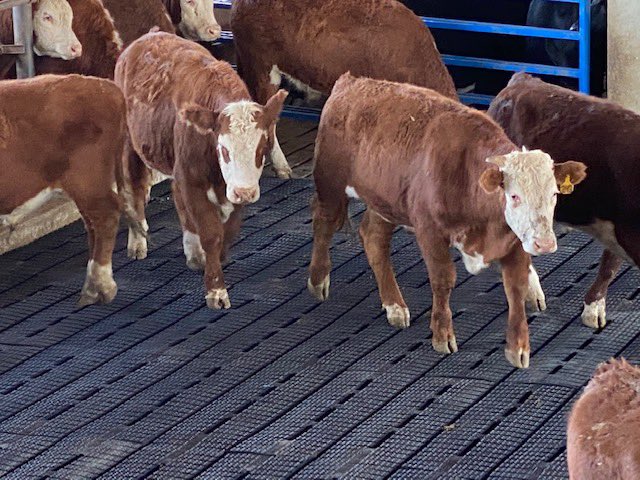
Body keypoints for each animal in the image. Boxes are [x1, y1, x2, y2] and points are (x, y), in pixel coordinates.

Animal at [115, 32, 287, 310]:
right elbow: (211, 234)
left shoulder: (230, 188)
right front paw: (216, 291)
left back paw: (192, 252)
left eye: (263, 148)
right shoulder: (192, 180)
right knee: (136, 186)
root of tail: (148, 36)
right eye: (224, 149)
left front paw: (214, 256)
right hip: (132, 144)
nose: (246, 192)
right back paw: (138, 241)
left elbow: (228, 231)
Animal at [308, 73, 587, 368]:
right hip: (330, 184)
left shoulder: (512, 242)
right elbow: (443, 281)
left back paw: (395, 306)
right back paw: (318, 279)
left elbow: (515, 287)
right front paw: (442, 335)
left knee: (374, 238)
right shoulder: (430, 232)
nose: (544, 243)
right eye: (514, 196)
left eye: (554, 194)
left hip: (385, 201)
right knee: (323, 221)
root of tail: (352, 82)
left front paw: (518, 347)